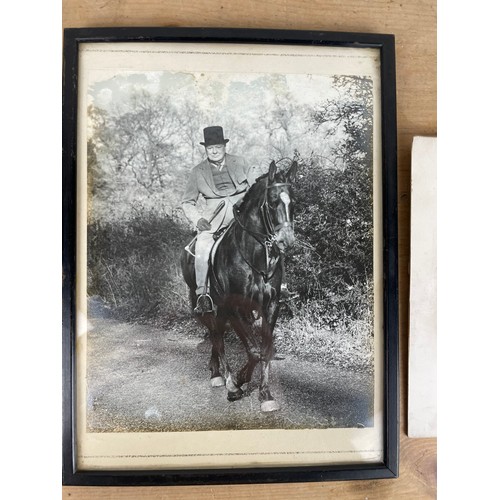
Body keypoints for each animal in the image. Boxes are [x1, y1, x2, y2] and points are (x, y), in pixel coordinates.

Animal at [180, 159, 296, 410]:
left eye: (294, 201)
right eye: (272, 202)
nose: (287, 241)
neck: (253, 256)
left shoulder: (270, 306)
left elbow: (265, 349)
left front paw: (265, 395)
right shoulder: (234, 308)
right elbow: (253, 350)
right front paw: (238, 383)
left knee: (217, 335)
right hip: (205, 306)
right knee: (216, 336)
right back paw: (221, 377)